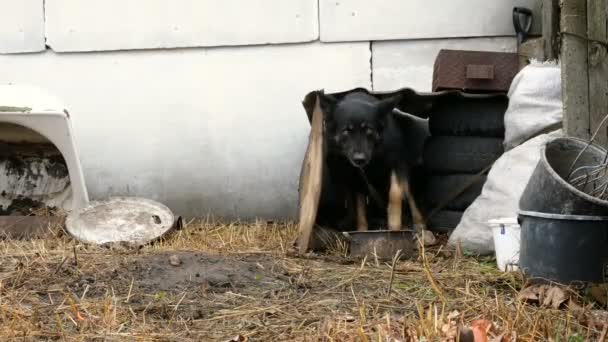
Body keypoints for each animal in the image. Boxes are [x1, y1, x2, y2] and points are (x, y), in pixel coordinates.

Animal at [320, 91, 430, 235]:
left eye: (369, 130)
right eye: (346, 131)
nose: (359, 159)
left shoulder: (398, 164)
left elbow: (395, 194)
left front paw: (394, 228)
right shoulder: (356, 177)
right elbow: (360, 207)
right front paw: (362, 230)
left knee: (411, 197)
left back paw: (419, 224)